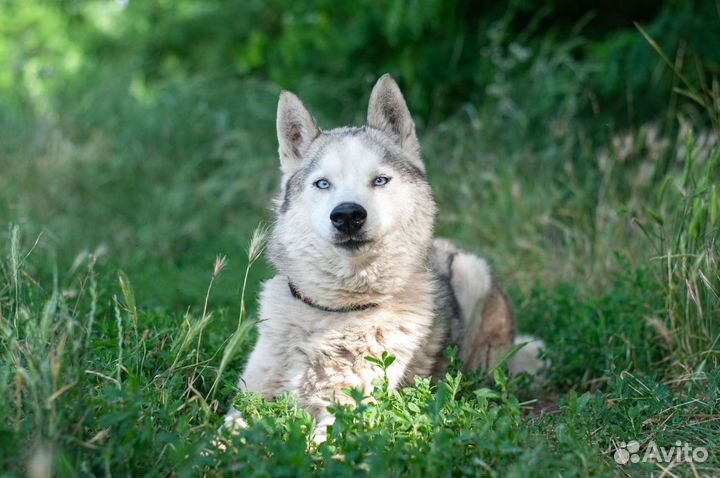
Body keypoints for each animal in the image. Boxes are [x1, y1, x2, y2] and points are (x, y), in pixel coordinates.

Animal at [228, 75, 544, 444]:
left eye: (379, 180)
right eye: (322, 184)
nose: (348, 215)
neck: (337, 313)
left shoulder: (347, 410)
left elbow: (311, 445)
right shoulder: (248, 397)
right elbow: (222, 436)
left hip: (473, 276)